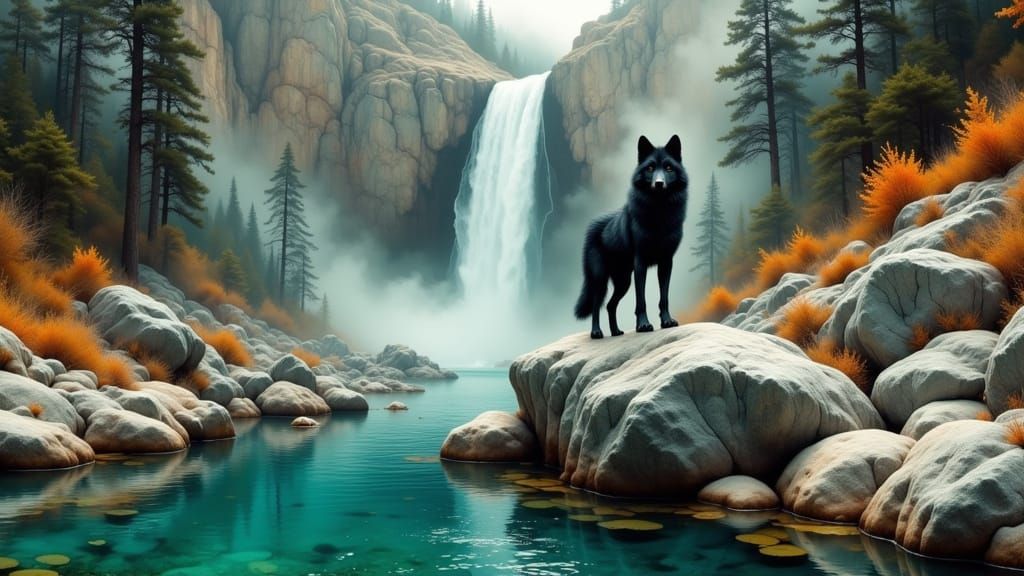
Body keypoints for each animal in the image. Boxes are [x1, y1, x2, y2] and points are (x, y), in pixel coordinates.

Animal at [573, 135, 689, 339]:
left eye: (668, 168)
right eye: (650, 168)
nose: (659, 183)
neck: (660, 216)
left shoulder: (666, 263)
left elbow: (664, 298)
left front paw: (667, 321)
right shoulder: (640, 263)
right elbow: (641, 300)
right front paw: (643, 325)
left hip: (623, 281)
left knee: (610, 305)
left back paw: (616, 332)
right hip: (601, 280)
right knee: (596, 305)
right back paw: (596, 332)